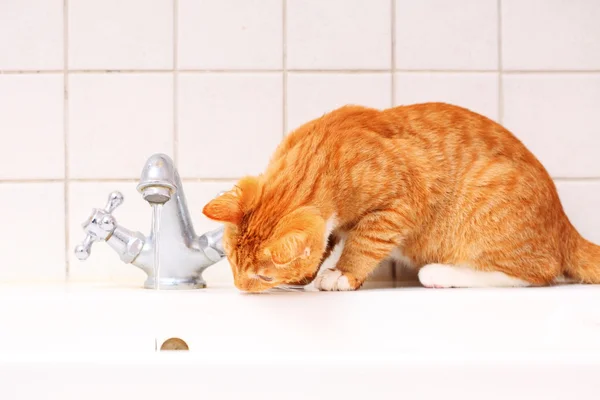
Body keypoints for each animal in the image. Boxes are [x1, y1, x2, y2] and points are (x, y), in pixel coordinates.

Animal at [203, 101, 600, 292]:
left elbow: (364, 241)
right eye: (232, 263)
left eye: (262, 276)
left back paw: (440, 273)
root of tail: (565, 225)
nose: (239, 288)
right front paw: (311, 271)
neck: (321, 152)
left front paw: (342, 273)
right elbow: (327, 239)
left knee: (536, 273)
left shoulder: (399, 204)